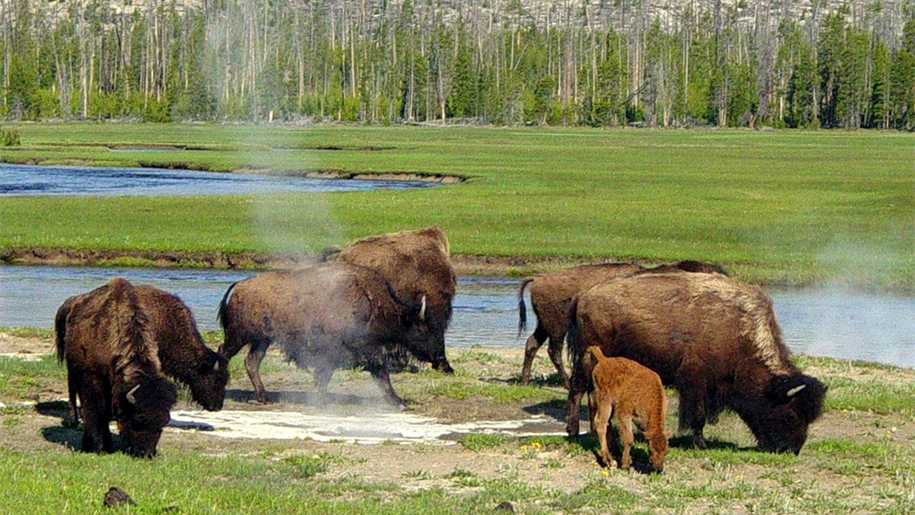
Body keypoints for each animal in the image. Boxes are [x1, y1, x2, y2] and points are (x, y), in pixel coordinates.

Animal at [55, 278, 178, 457]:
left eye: (164, 422)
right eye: (138, 419)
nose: (147, 453)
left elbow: (105, 414)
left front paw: (107, 445)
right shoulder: (93, 379)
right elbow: (97, 411)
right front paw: (94, 446)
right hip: (72, 372)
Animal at [217, 262, 449, 406]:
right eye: (424, 328)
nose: (439, 356)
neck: (370, 301)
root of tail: (239, 286)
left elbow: (326, 376)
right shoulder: (361, 349)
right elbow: (381, 373)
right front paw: (399, 402)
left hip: (261, 340)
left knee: (251, 362)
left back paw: (264, 397)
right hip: (239, 336)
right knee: (224, 352)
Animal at [517, 260, 727, 387]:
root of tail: (538, 279)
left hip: (545, 325)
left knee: (532, 343)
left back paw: (525, 380)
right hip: (557, 327)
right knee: (553, 351)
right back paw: (567, 383)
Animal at [566, 272, 826, 454]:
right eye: (791, 415)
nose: (791, 450)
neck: (738, 333)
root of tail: (583, 297)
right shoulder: (696, 382)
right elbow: (697, 414)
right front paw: (700, 443)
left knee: (591, 395)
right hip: (587, 360)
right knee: (577, 389)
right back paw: (574, 431)